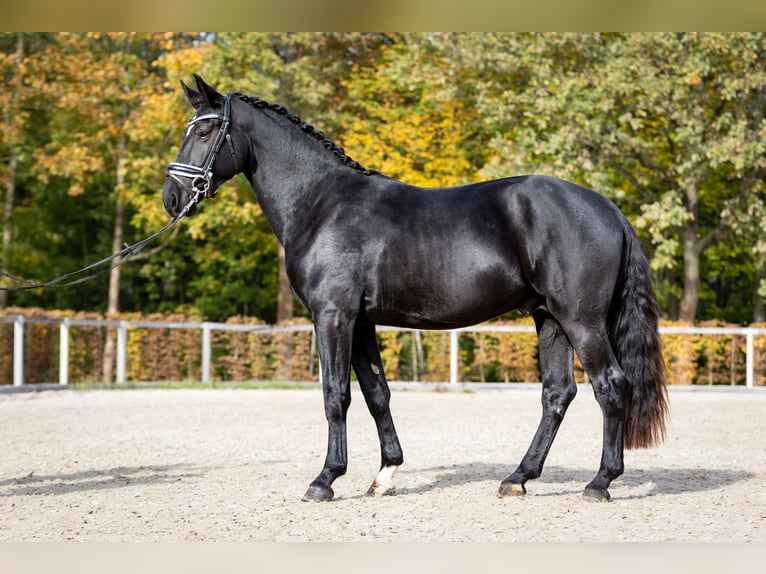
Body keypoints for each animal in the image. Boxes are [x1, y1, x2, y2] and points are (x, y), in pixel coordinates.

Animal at [164, 75, 672, 504]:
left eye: (206, 131)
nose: (172, 197)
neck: (322, 203)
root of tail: (607, 207)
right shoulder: (361, 322)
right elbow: (376, 393)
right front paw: (385, 474)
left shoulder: (333, 317)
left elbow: (335, 395)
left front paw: (325, 480)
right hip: (550, 319)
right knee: (557, 394)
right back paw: (518, 478)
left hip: (581, 321)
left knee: (610, 386)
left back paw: (600, 483)